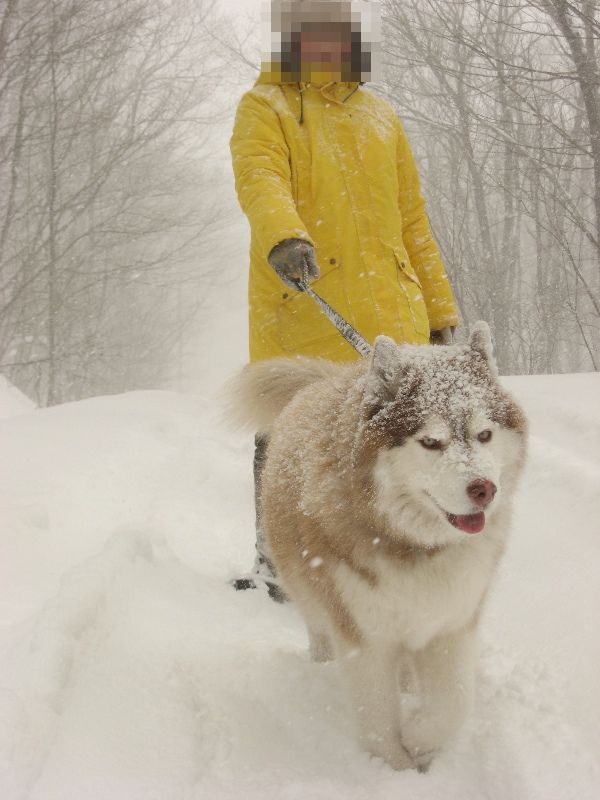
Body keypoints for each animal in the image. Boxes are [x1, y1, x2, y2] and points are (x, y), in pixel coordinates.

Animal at [232, 322, 528, 772]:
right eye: (431, 442)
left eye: (485, 434)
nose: (484, 489)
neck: (419, 546)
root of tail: (325, 379)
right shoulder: (363, 634)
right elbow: (376, 714)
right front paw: (396, 767)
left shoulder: (453, 620)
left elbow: (455, 702)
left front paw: (421, 738)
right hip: (306, 589)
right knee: (317, 628)